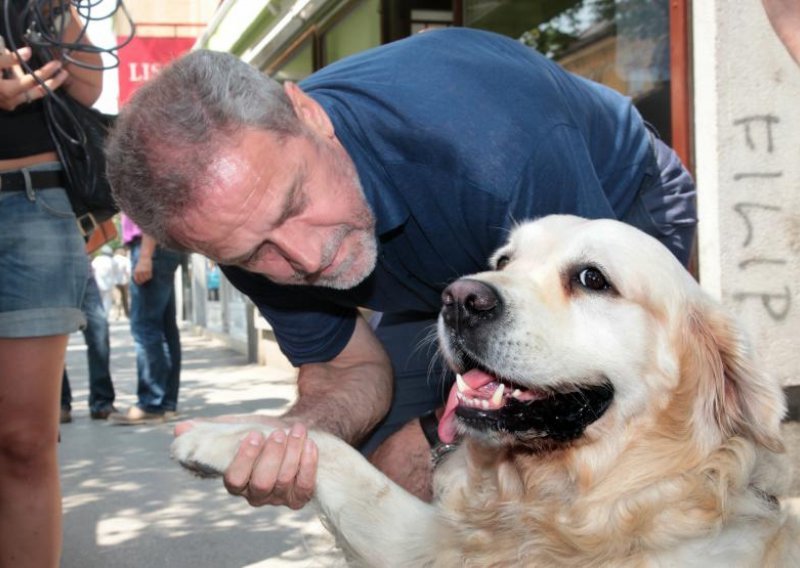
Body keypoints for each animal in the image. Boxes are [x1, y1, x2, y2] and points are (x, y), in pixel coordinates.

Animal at [170, 215, 800, 564]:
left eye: (592, 278)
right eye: (504, 259)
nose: (458, 298)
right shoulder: (421, 540)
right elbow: (342, 457)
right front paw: (233, 437)